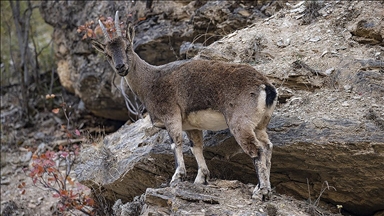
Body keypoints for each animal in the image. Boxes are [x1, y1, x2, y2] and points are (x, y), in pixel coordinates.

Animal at [93, 11, 280, 201]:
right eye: (107, 54)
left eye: (127, 47)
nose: (121, 67)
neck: (150, 81)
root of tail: (266, 86)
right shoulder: (191, 126)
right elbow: (195, 147)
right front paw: (201, 178)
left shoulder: (171, 115)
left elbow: (175, 142)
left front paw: (177, 176)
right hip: (259, 125)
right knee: (267, 147)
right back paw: (261, 188)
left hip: (240, 123)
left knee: (257, 150)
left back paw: (261, 191)